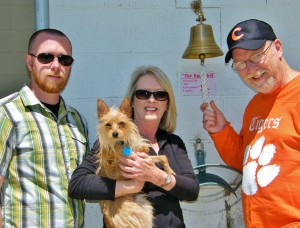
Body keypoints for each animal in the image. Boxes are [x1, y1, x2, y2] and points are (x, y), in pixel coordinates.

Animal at [96, 98, 175, 228]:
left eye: (121, 123)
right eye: (108, 125)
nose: (115, 134)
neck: (121, 143)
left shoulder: (143, 157)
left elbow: (163, 157)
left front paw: (169, 170)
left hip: (144, 204)